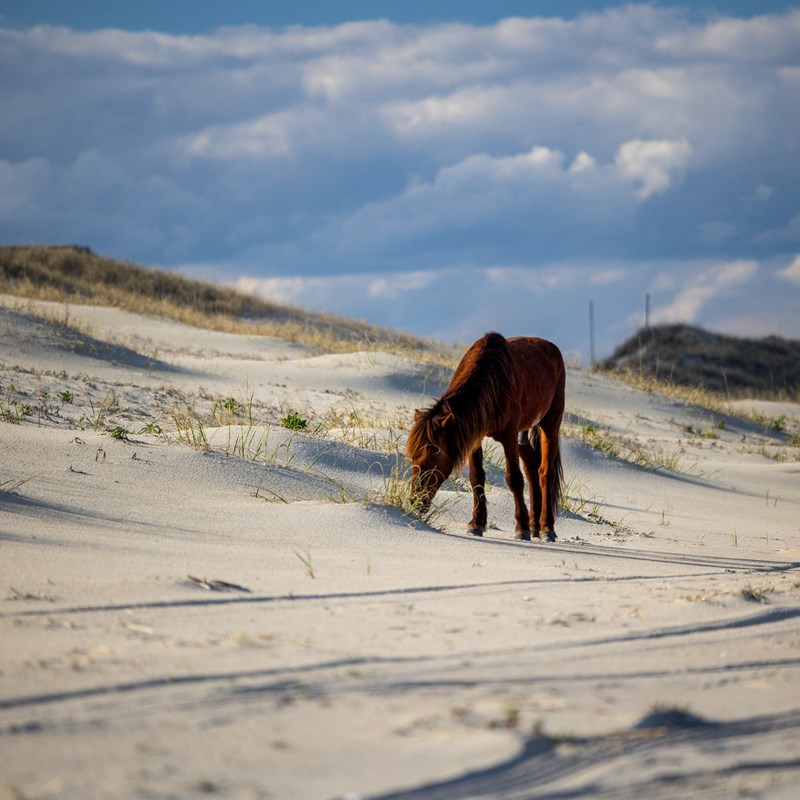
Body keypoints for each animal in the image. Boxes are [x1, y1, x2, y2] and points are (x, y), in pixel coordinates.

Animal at [406, 331, 565, 541]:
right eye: (412, 457)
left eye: (434, 454)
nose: (416, 500)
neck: (492, 380)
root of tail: (551, 348)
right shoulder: (475, 437)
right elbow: (476, 477)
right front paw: (477, 523)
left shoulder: (509, 436)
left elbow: (514, 479)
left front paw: (521, 528)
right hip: (523, 436)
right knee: (532, 470)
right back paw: (535, 526)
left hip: (550, 424)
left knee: (545, 473)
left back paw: (547, 529)